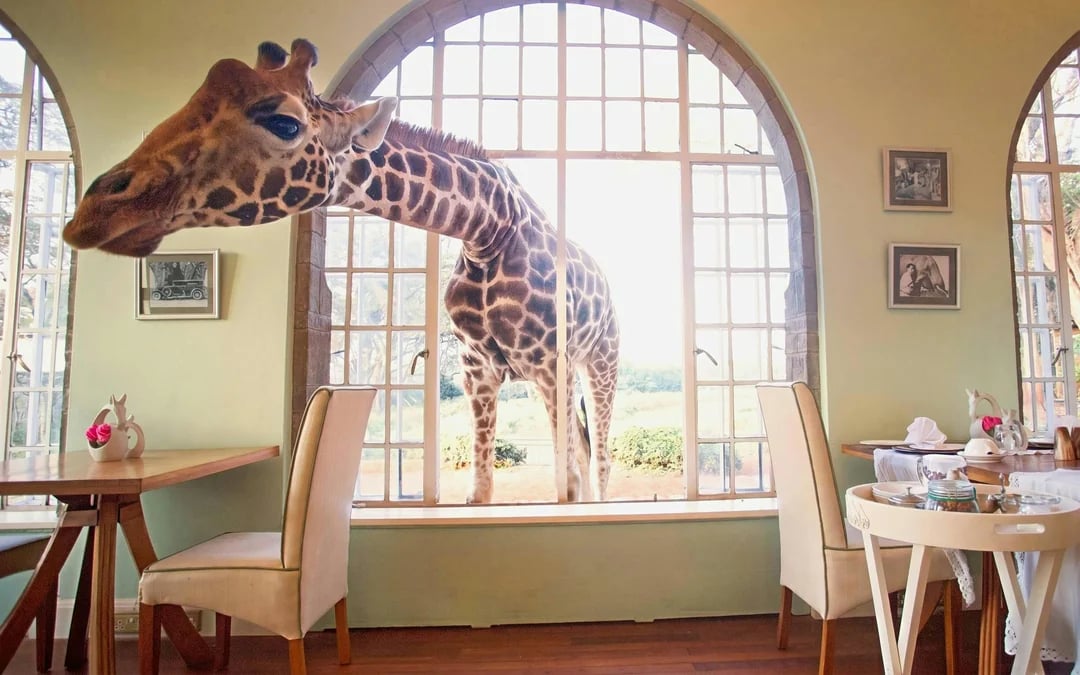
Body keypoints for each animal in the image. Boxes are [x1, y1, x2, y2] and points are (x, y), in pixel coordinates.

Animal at [62, 39, 620, 504]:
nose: (95, 211)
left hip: (600, 365)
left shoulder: (549, 365)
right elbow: (480, 492)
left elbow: (567, 485)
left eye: (284, 123)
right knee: (587, 451)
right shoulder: (477, 371)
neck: (489, 231)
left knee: (599, 458)